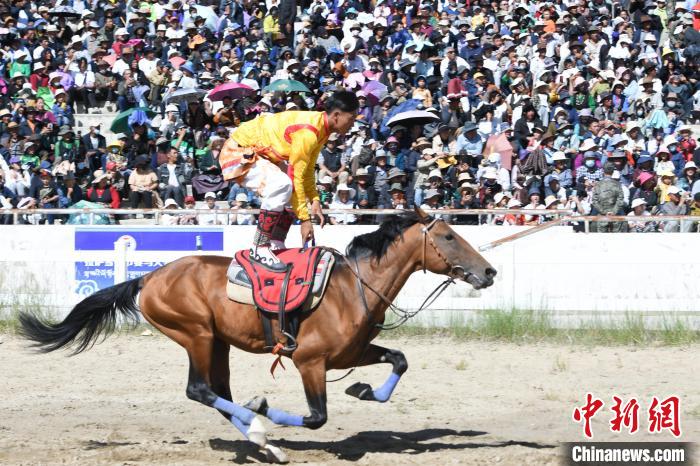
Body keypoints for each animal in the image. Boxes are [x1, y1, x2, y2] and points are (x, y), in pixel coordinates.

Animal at [19, 207, 496, 462]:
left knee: (216, 392)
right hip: (196, 335)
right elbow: (317, 416)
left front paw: (363, 390)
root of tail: (150, 277)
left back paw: (261, 440)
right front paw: (267, 408)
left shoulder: (352, 354)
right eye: (448, 236)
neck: (352, 290)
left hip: (218, 343)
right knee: (199, 390)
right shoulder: (309, 361)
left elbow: (399, 359)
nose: (489, 272)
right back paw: (259, 424)